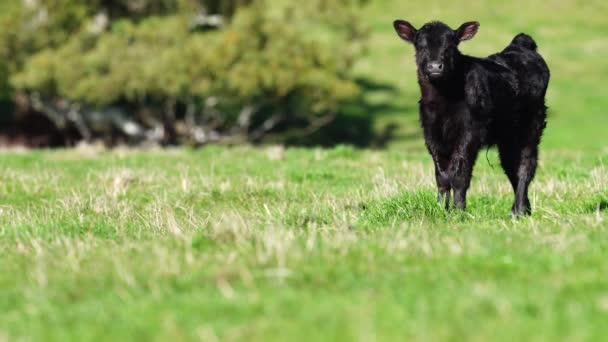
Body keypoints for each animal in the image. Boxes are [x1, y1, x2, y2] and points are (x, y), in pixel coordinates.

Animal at [394, 20, 552, 215]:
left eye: (450, 47)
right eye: (421, 46)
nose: (435, 66)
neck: (443, 101)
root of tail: (520, 46)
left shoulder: (470, 133)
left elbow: (459, 174)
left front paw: (458, 210)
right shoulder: (431, 135)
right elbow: (442, 176)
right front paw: (441, 208)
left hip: (530, 126)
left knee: (524, 166)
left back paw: (519, 210)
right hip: (507, 136)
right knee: (511, 166)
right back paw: (522, 209)